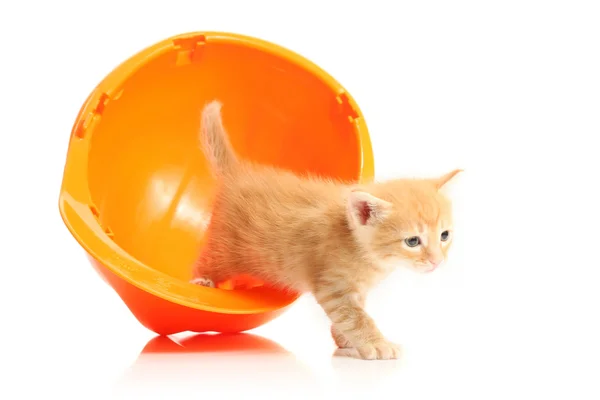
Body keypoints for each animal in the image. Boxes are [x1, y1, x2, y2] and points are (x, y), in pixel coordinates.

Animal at [190, 99, 462, 360]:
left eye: (444, 236)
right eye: (413, 241)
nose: (437, 261)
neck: (364, 253)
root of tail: (238, 174)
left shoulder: (355, 290)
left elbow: (353, 313)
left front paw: (344, 339)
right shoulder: (332, 286)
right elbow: (356, 317)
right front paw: (377, 344)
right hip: (227, 247)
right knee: (207, 260)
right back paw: (202, 281)